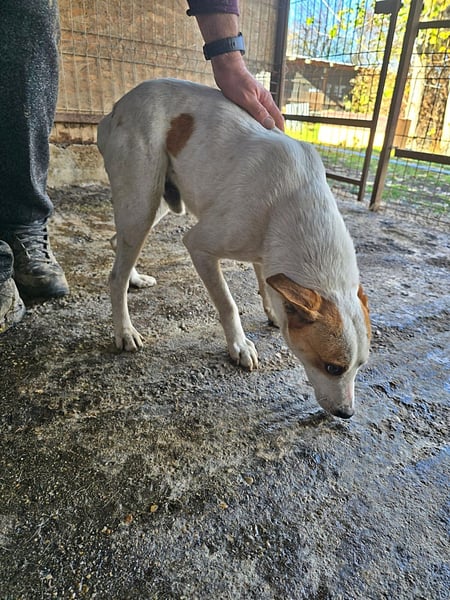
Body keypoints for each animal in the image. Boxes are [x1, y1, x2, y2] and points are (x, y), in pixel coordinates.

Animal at [97, 78, 371, 419]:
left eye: (361, 366)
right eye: (334, 367)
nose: (347, 413)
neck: (292, 200)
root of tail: (116, 107)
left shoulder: (265, 253)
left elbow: (266, 285)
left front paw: (272, 313)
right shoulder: (200, 246)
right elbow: (228, 305)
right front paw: (239, 346)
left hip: (154, 205)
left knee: (117, 244)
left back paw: (134, 278)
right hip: (141, 203)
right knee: (114, 277)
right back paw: (124, 330)